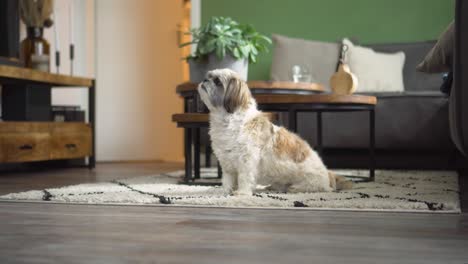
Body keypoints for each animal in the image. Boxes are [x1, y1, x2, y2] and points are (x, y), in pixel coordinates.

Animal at [197, 68, 352, 196]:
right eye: (208, 76)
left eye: (217, 81)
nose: (204, 80)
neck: (227, 120)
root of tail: (327, 174)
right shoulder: (227, 162)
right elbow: (228, 179)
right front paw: (224, 191)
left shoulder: (247, 160)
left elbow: (244, 177)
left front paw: (242, 193)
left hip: (312, 181)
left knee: (315, 187)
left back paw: (296, 188)